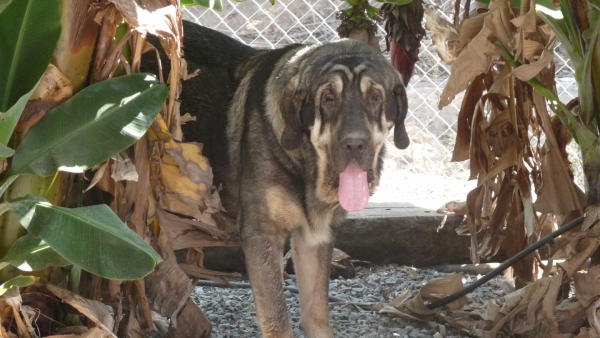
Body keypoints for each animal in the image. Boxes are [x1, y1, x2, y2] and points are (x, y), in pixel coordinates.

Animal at [175, 20, 408, 336]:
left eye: (375, 97)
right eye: (328, 99)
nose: (355, 145)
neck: (306, 166)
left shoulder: (314, 238)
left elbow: (317, 314)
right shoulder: (262, 236)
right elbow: (277, 319)